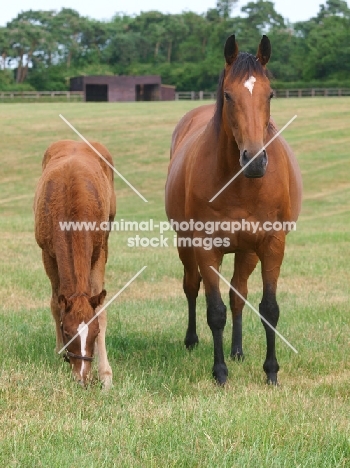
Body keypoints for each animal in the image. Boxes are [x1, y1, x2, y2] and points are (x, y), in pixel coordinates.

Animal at [33, 139, 115, 388]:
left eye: (95, 334)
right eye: (68, 334)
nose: (82, 378)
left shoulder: (99, 251)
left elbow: (101, 309)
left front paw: (105, 375)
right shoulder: (47, 254)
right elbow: (54, 303)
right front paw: (60, 352)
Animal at [165, 33, 302, 384]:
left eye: (270, 94)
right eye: (228, 95)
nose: (254, 160)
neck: (242, 185)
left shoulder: (272, 244)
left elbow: (269, 309)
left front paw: (271, 372)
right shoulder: (205, 247)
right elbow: (215, 312)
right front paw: (220, 373)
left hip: (246, 251)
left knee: (238, 293)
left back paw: (237, 350)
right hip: (186, 245)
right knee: (191, 287)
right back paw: (192, 340)